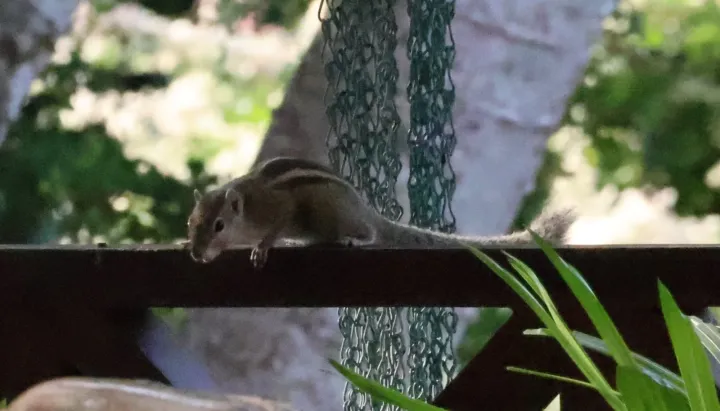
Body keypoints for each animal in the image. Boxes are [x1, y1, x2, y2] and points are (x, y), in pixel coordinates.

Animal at [186, 156, 576, 268]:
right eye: (192, 223)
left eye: (219, 225)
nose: (196, 253)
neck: (246, 207)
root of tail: (366, 210)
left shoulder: (279, 209)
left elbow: (275, 226)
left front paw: (262, 248)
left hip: (333, 211)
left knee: (370, 233)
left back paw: (354, 239)